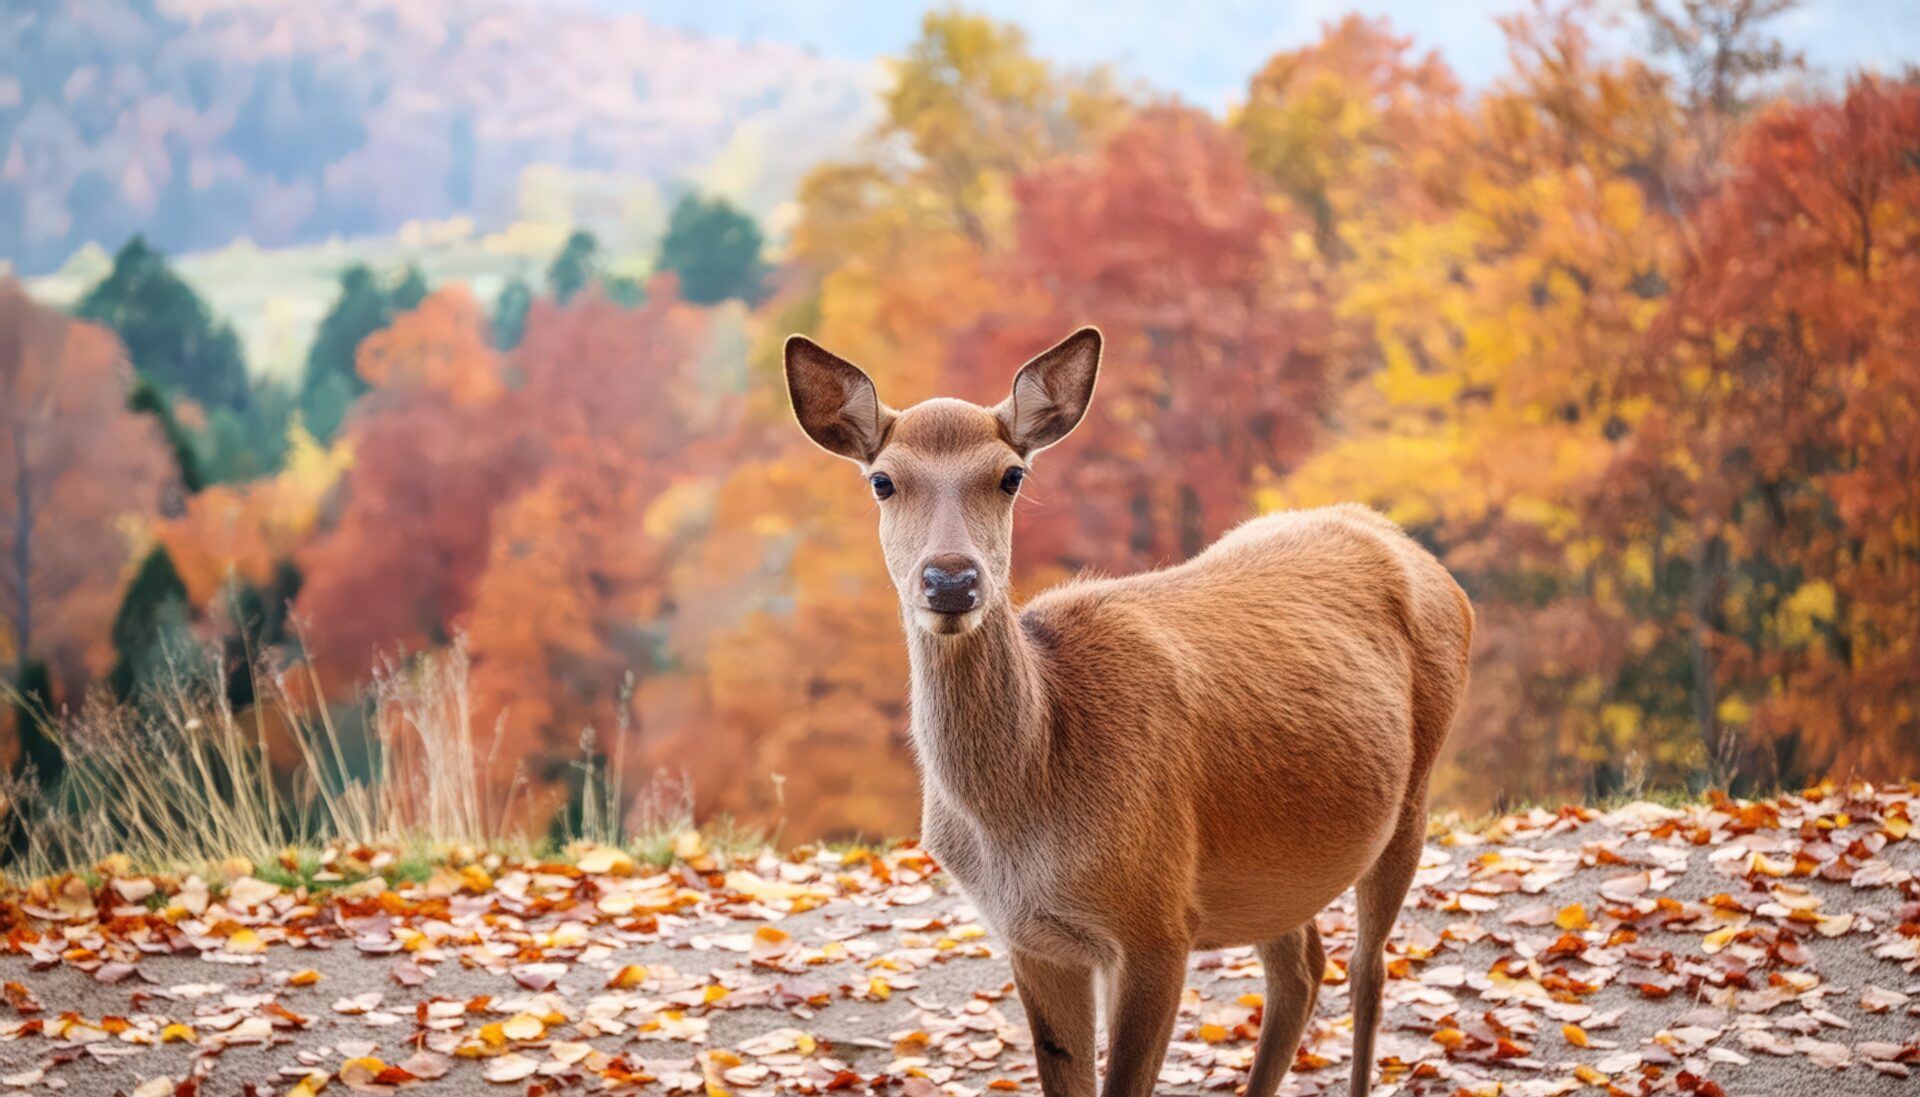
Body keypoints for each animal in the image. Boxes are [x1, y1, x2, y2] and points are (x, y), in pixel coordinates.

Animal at [784, 326, 1473, 1097]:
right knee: (1302, 965)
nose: (952, 580)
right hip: (1276, 867)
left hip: (1414, 795)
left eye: (1010, 475)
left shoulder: (1158, 919)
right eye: (883, 480)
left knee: (1369, 970)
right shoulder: (1033, 936)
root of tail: (1419, 554)